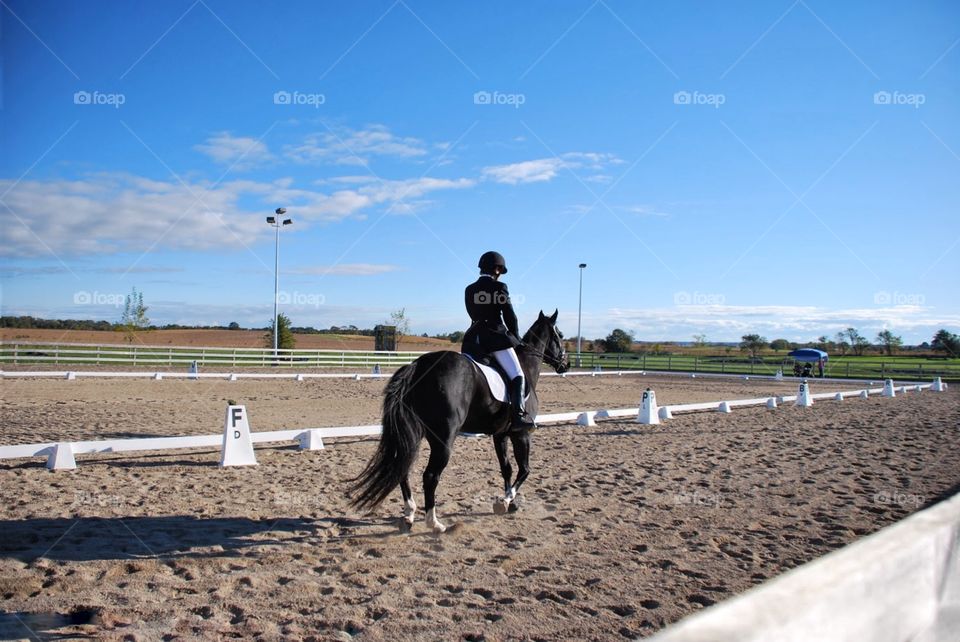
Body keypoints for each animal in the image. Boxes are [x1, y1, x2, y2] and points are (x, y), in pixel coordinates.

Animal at [349, 310, 569, 533]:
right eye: (559, 335)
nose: (565, 365)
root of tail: (418, 366)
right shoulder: (521, 434)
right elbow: (525, 470)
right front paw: (507, 501)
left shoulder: (500, 435)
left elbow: (506, 468)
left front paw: (509, 503)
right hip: (444, 439)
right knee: (430, 476)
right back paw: (435, 523)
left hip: (414, 434)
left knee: (403, 468)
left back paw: (409, 515)